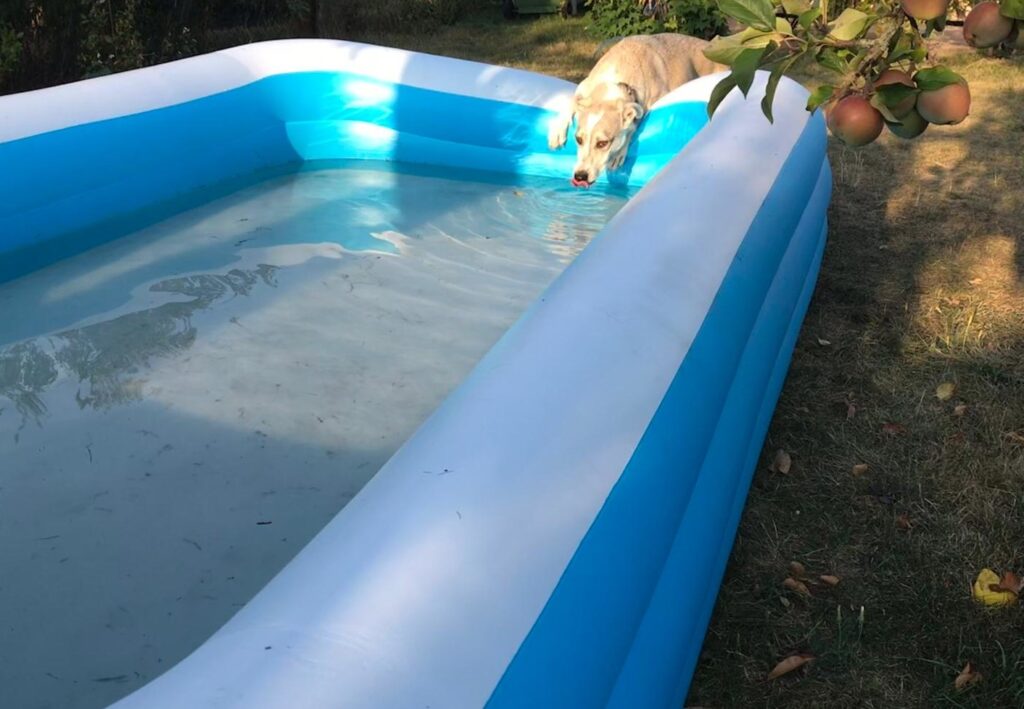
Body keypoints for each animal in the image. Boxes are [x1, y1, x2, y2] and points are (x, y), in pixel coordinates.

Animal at [548, 33, 724, 186]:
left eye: (602, 143)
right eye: (578, 139)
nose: (580, 176)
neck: (616, 81)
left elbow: (633, 125)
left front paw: (619, 153)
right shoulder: (584, 87)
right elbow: (572, 100)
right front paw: (557, 131)